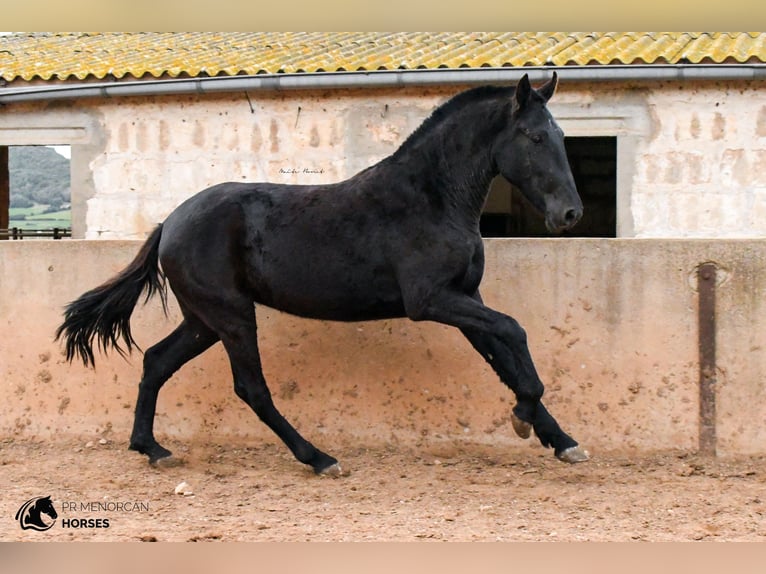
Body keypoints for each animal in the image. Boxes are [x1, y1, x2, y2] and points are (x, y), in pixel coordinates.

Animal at [57, 73, 592, 476]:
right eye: (535, 137)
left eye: (563, 137)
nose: (569, 214)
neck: (432, 199)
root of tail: (170, 222)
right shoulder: (431, 301)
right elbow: (514, 332)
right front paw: (523, 418)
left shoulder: (465, 299)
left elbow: (503, 358)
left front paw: (561, 440)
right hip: (231, 316)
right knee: (250, 388)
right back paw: (318, 458)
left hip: (203, 320)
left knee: (155, 361)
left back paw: (152, 449)